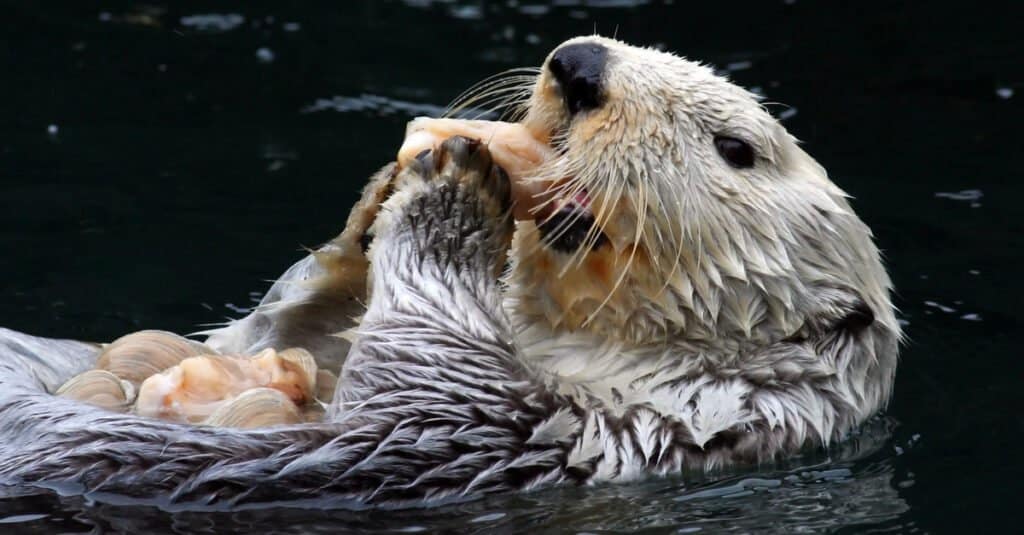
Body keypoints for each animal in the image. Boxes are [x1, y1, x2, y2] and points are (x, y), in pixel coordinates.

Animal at [0, 36, 897, 504]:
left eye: (737, 147)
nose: (580, 64)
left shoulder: (510, 425)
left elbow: (423, 363)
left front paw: (453, 188)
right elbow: (276, 326)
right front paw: (377, 199)